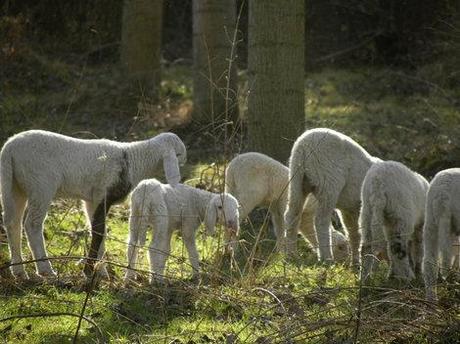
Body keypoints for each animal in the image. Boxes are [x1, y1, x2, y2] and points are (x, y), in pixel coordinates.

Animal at [0, 129, 187, 280]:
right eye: (179, 153)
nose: (184, 161)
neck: (133, 159)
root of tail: (9, 149)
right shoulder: (102, 193)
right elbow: (99, 231)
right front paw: (89, 270)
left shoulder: (91, 200)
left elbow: (97, 231)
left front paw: (100, 272)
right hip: (41, 184)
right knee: (32, 224)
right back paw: (45, 269)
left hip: (13, 185)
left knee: (12, 223)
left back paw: (19, 271)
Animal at [284, 127, 380, 264]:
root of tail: (304, 145)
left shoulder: (350, 209)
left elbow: (354, 233)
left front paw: (356, 261)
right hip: (328, 181)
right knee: (320, 220)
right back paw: (326, 258)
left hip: (297, 179)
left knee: (292, 214)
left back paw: (291, 256)